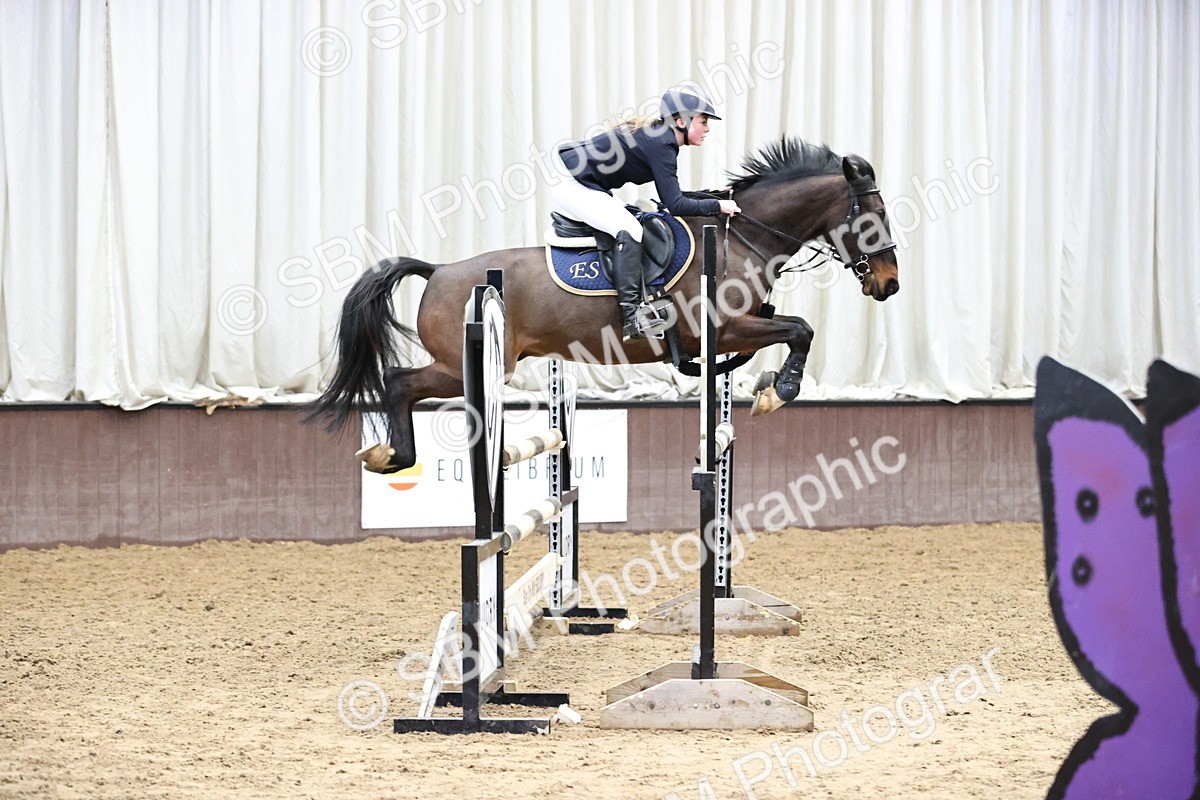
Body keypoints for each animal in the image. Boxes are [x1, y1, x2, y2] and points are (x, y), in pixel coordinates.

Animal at [307, 138, 900, 474]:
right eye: (873, 218)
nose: (890, 284)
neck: (745, 235)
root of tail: (438, 271)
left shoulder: (742, 326)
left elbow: (784, 329)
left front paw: (760, 383)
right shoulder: (727, 327)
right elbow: (800, 329)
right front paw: (780, 391)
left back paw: (390, 455)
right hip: (468, 365)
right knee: (400, 382)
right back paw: (392, 456)